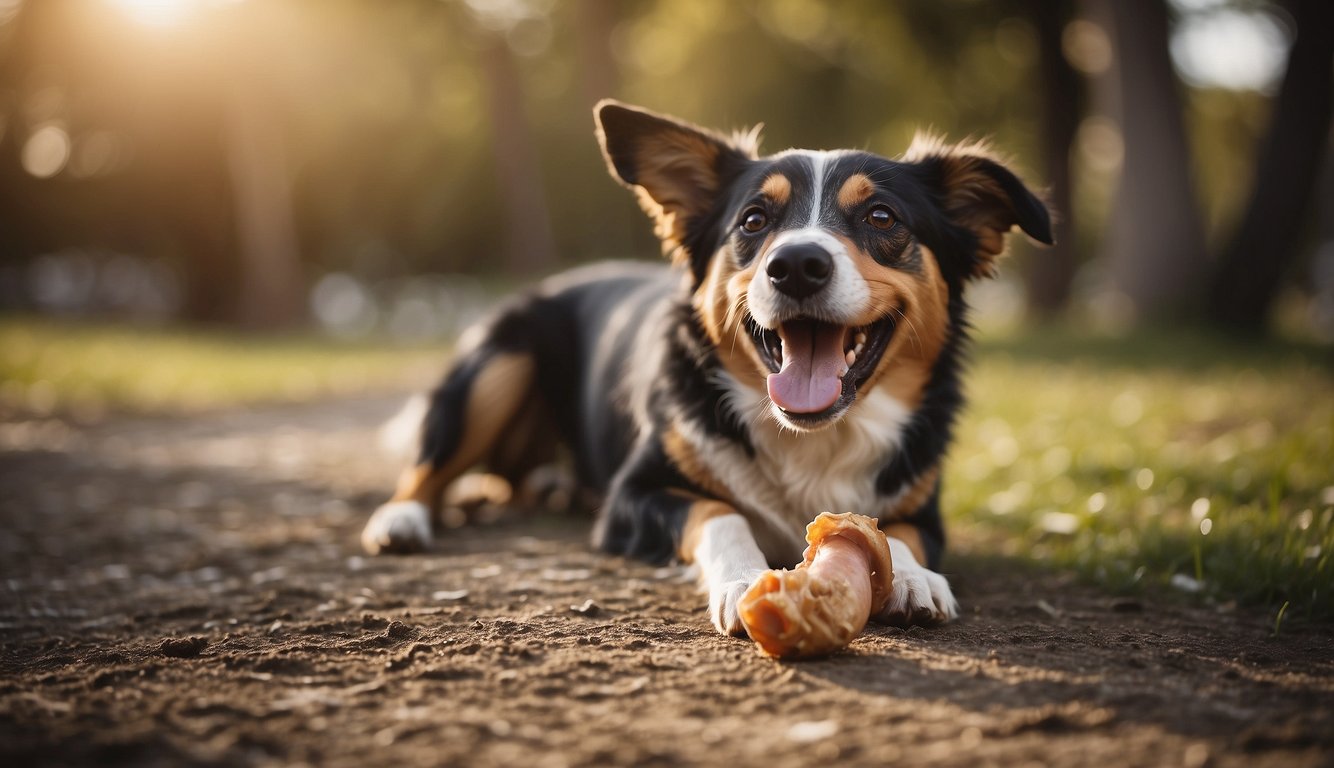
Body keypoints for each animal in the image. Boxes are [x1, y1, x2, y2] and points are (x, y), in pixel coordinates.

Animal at [360, 98, 1045, 632]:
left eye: (882, 217)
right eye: (754, 220)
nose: (796, 265)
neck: (811, 438)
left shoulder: (923, 504)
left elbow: (898, 530)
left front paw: (913, 575)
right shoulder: (633, 496)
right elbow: (720, 511)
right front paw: (744, 580)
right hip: (500, 361)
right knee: (429, 465)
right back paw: (401, 518)